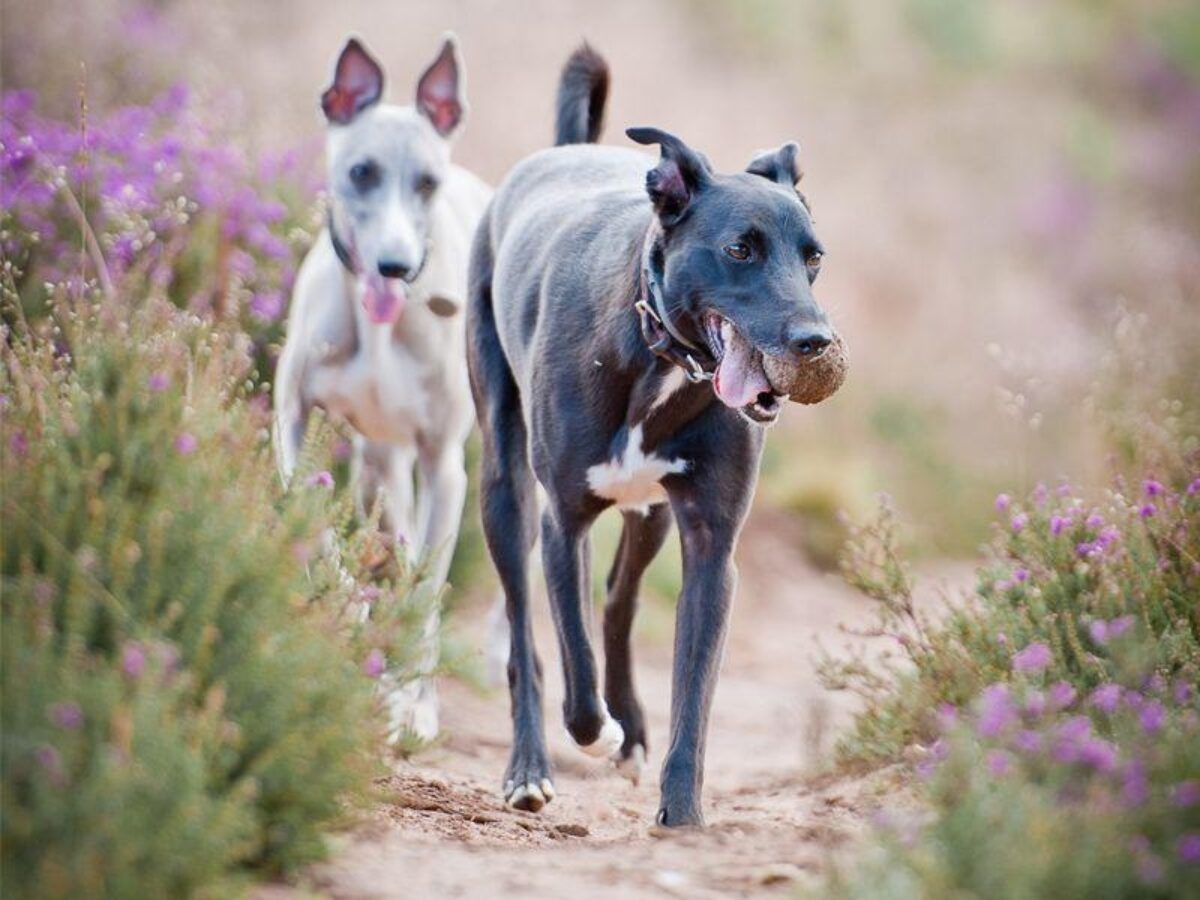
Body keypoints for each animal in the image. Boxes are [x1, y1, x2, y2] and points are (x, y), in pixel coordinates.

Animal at [274, 33, 489, 739]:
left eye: (426, 183)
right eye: (362, 171)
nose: (395, 265)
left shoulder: (445, 466)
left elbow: (425, 588)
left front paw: (413, 702)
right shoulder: (291, 415)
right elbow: (307, 510)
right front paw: (347, 599)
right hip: (379, 466)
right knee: (396, 530)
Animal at [468, 45, 835, 830]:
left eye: (814, 257)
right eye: (741, 248)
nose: (816, 341)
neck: (654, 355)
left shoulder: (711, 544)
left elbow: (693, 692)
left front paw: (682, 810)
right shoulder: (564, 519)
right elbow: (572, 671)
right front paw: (595, 732)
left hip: (652, 512)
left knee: (617, 597)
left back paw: (630, 727)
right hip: (504, 491)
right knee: (527, 636)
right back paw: (531, 768)